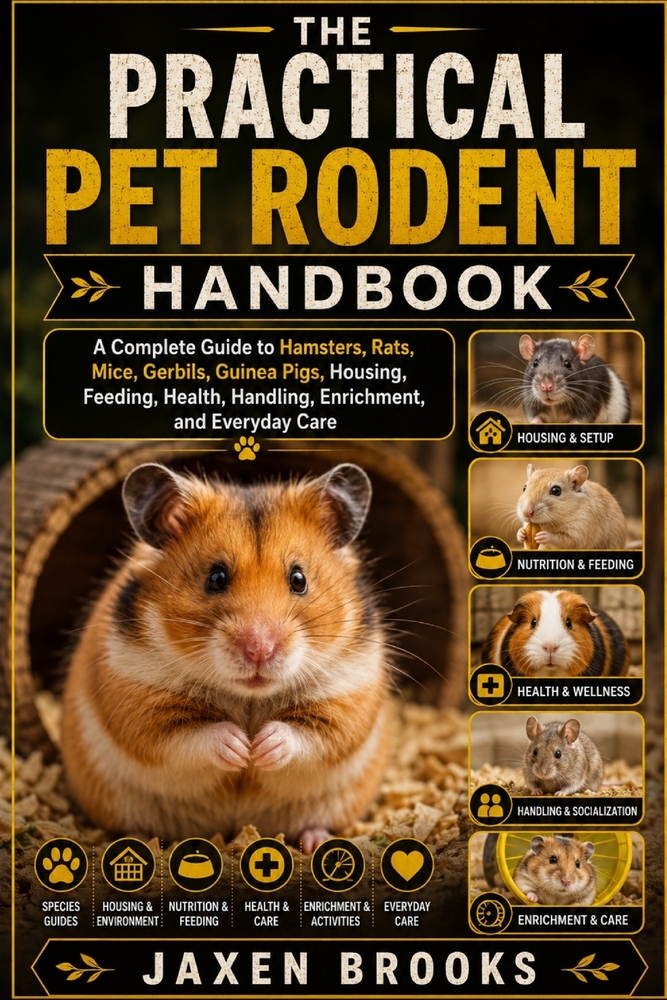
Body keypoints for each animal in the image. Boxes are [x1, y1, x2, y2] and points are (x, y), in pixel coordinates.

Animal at [61, 462, 390, 852]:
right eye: (215, 577)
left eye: (299, 579)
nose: (259, 649)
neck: (249, 696)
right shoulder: (136, 698)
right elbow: (187, 735)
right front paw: (240, 749)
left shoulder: (349, 694)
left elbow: (311, 734)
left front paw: (260, 749)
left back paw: (314, 841)